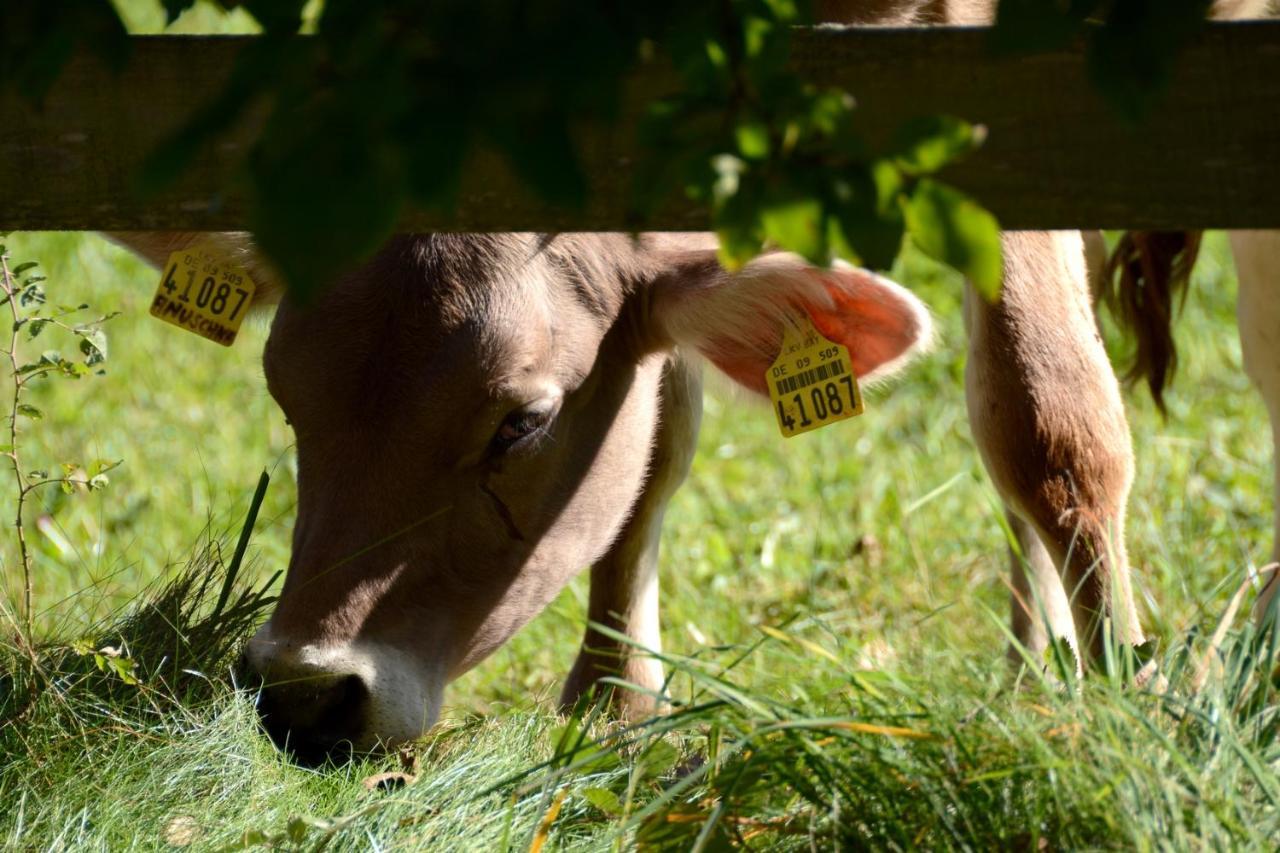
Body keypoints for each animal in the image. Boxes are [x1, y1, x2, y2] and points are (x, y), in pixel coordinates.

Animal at [112, 0, 1280, 758]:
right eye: (285, 397)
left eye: (519, 423)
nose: (304, 695)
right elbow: (656, 441)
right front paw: (614, 700)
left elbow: (1046, 417)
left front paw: (1125, 699)